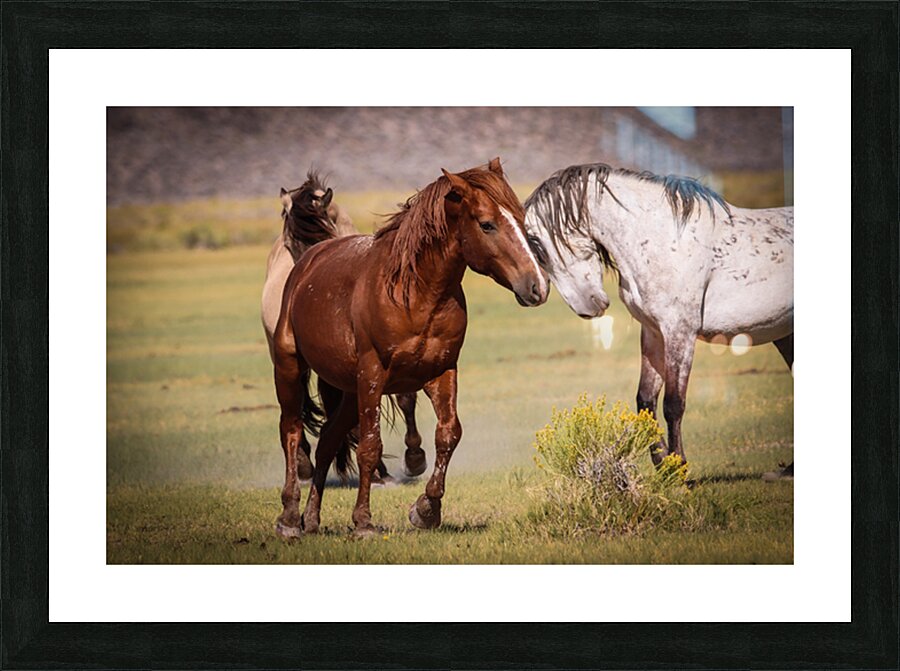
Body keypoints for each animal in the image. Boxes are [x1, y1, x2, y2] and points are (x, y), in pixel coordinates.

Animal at [261, 171, 426, 485]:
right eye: (292, 245)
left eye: (323, 238)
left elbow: (405, 398)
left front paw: (413, 459)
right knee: (296, 404)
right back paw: (306, 464)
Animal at [523, 163, 793, 471]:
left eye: (538, 249)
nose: (589, 306)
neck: (662, 240)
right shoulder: (653, 333)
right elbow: (645, 400)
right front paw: (662, 461)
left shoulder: (680, 333)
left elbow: (673, 404)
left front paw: (678, 465)